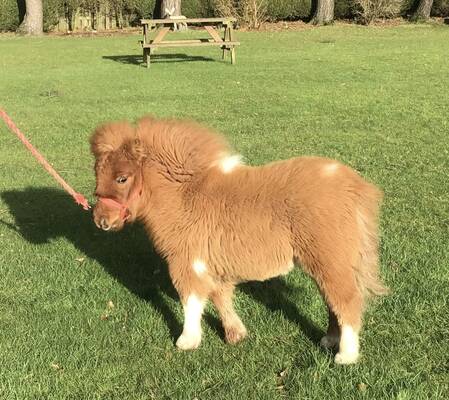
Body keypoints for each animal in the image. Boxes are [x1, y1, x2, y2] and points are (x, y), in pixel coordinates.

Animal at [90, 115, 384, 362]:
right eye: (96, 174)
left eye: (122, 178)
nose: (101, 221)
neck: (185, 195)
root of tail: (354, 187)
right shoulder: (211, 263)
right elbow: (220, 296)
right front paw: (235, 334)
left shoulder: (186, 262)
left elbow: (191, 301)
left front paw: (187, 340)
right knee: (333, 301)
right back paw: (330, 340)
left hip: (328, 259)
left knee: (346, 300)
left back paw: (346, 356)